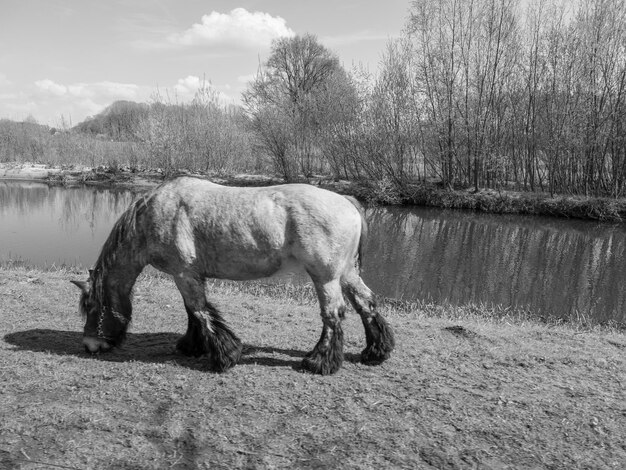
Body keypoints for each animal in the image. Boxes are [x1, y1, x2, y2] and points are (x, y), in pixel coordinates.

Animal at [72, 176, 394, 374]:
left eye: (93, 307)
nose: (90, 345)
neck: (154, 214)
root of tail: (346, 200)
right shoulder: (190, 276)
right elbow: (193, 313)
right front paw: (192, 346)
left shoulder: (184, 273)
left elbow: (200, 312)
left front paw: (224, 356)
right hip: (346, 274)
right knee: (366, 304)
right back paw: (375, 352)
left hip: (325, 278)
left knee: (332, 315)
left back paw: (319, 362)